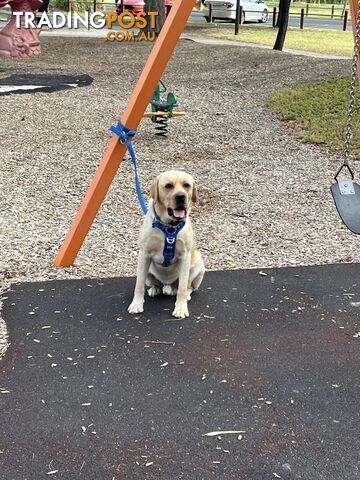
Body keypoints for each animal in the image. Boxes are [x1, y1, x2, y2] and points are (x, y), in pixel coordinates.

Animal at [128, 170, 204, 318]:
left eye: (187, 185)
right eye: (168, 186)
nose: (181, 196)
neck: (169, 226)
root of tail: (168, 286)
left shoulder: (185, 256)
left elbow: (182, 288)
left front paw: (180, 308)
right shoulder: (144, 254)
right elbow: (139, 285)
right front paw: (136, 304)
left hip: (197, 266)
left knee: (188, 287)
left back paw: (185, 294)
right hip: (149, 271)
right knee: (154, 284)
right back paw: (155, 289)